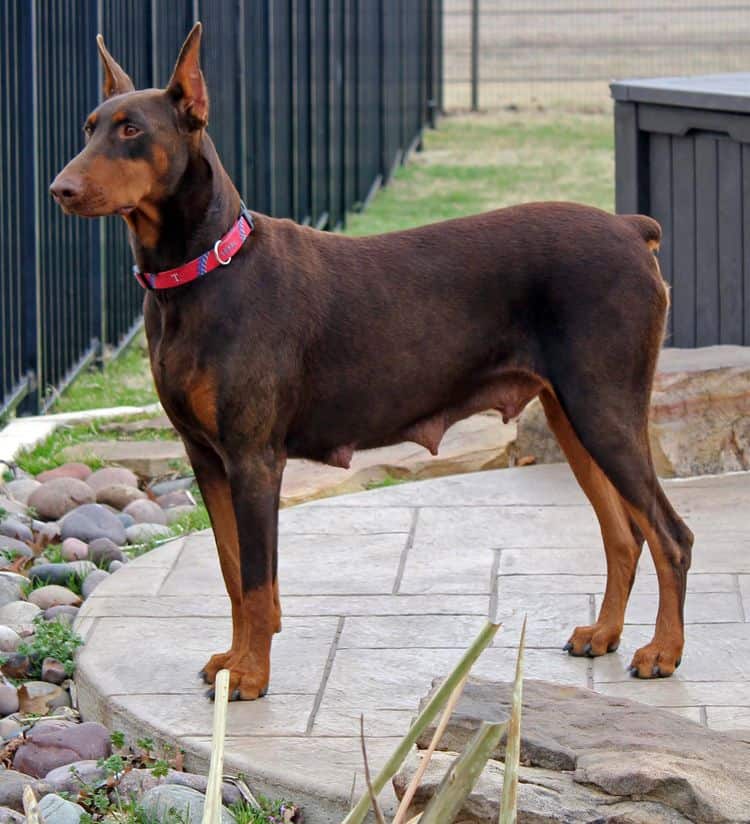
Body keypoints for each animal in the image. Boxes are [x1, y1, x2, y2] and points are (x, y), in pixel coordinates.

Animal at [53, 24, 696, 696]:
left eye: (132, 130)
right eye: (90, 126)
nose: (59, 189)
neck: (202, 272)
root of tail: (632, 229)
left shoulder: (255, 459)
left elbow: (256, 580)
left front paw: (252, 675)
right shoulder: (206, 456)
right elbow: (233, 572)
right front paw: (234, 660)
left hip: (604, 409)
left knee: (671, 536)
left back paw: (663, 651)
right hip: (573, 414)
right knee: (624, 535)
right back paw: (604, 633)